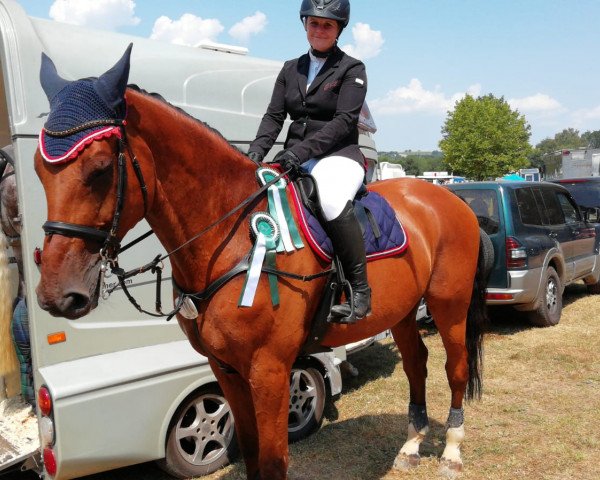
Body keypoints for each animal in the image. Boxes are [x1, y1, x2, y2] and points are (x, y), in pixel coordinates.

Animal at [34, 46, 488, 480]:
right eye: (39, 170)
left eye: (100, 169)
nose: (57, 295)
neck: (230, 234)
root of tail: (450, 200)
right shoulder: (225, 369)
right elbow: (252, 455)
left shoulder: (269, 370)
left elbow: (272, 462)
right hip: (404, 311)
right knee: (416, 364)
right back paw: (411, 446)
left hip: (449, 306)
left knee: (455, 368)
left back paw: (451, 452)